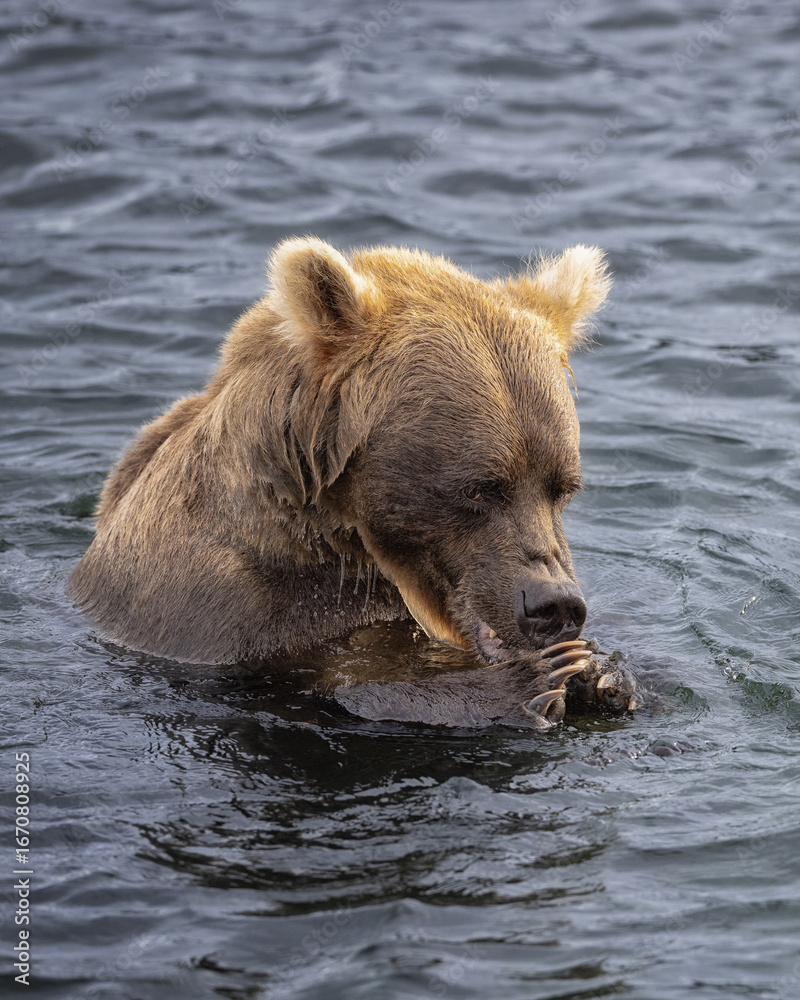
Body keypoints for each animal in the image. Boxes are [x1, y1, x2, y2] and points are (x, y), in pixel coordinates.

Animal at [68, 237, 625, 726]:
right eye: (480, 488)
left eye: (562, 487)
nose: (555, 604)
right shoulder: (219, 613)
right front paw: (534, 680)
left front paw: (599, 670)